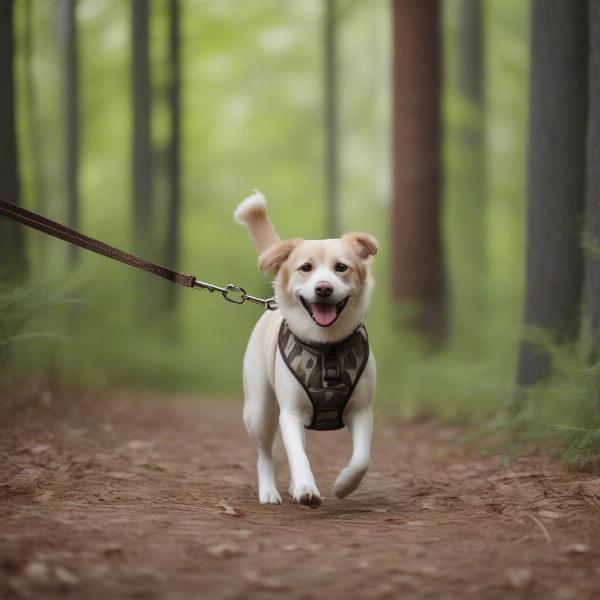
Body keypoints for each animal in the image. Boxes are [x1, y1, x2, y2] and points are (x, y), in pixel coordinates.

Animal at [233, 191, 378, 506]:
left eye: (341, 267)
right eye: (306, 268)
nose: (323, 288)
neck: (327, 347)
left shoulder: (362, 410)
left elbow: (362, 458)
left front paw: (343, 485)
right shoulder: (289, 412)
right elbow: (297, 456)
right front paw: (305, 488)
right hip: (259, 409)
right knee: (266, 454)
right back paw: (270, 491)